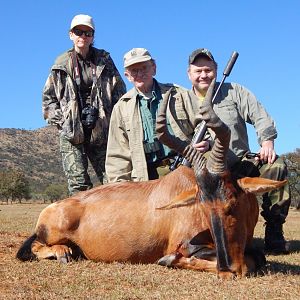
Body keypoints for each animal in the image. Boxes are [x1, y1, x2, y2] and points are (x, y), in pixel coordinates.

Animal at [16, 82, 286, 278]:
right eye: (203, 207)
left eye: (232, 202)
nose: (227, 271)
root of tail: (55, 207)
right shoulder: (185, 243)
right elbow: (248, 261)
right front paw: (169, 259)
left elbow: (258, 257)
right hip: (49, 234)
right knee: (34, 246)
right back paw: (63, 251)